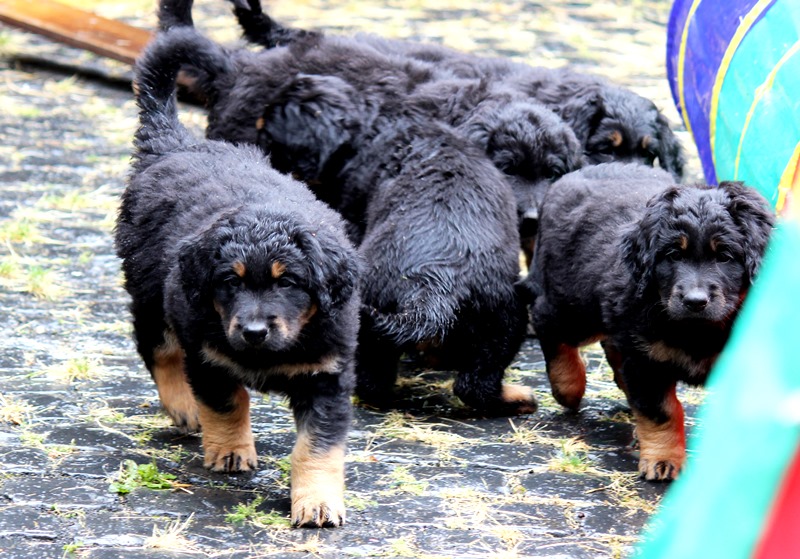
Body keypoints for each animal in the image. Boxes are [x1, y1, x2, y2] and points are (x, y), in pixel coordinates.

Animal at [115, 27, 361, 527]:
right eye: (230, 281)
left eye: (289, 283)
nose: (253, 332)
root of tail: (175, 143)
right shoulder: (207, 353)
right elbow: (227, 403)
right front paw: (230, 451)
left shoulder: (328, 374)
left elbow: (317, 448)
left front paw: (317, 503)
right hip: (149, 290)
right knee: (158, 349)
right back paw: (183, 407)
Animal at [523, 162, 774, 480]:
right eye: (674, 255)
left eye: (725, 256)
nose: (695, 301)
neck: (697, 330)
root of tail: (576, 173)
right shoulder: (647, 363)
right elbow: (661, 412)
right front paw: (663, 460)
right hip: (573, 304)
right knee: (547, 321)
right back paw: (567, 386)